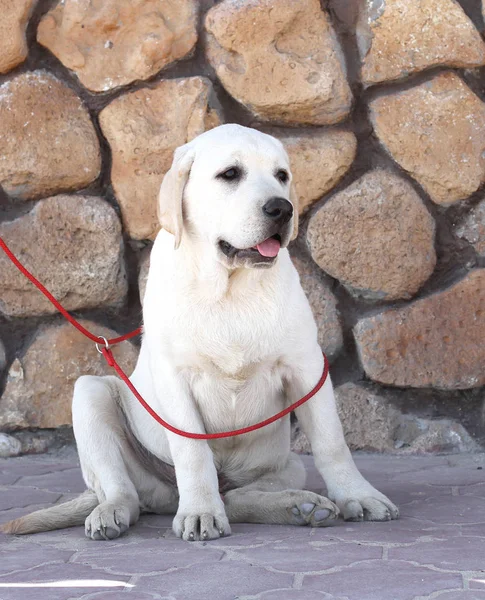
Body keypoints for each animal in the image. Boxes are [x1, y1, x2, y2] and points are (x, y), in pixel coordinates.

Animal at [2, 124, 398, 540]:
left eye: (282, 176)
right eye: (230, 174)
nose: (282, 208)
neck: (228, 288)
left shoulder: (307, 366)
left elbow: (331, 440)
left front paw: (358, 495)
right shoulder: (175, 378)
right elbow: (192, 452)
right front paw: (200, 512)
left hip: (285, 466)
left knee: (239, 498)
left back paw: (299, 506)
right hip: (91, 393)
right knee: (124, 492)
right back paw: (113, 512)